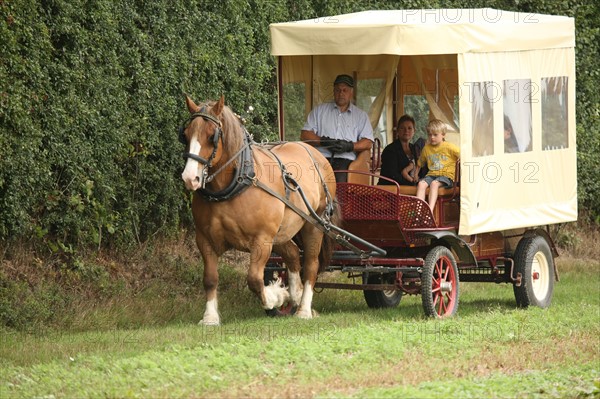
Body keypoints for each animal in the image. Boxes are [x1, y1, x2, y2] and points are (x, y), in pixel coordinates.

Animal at [178, 95, 338, 326]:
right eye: (185, 135)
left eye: (211, 136)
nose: (190, 178)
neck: (235, 186)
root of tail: (317, 154)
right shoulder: (204, 239)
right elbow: (210, 278)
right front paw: (210, 317)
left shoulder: (262, 240)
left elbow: (254, 278)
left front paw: (276, 297)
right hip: (281, 232)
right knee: (292, 255)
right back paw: (296, 294)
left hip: (313, 224)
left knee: (310, 264)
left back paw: (304, 309)